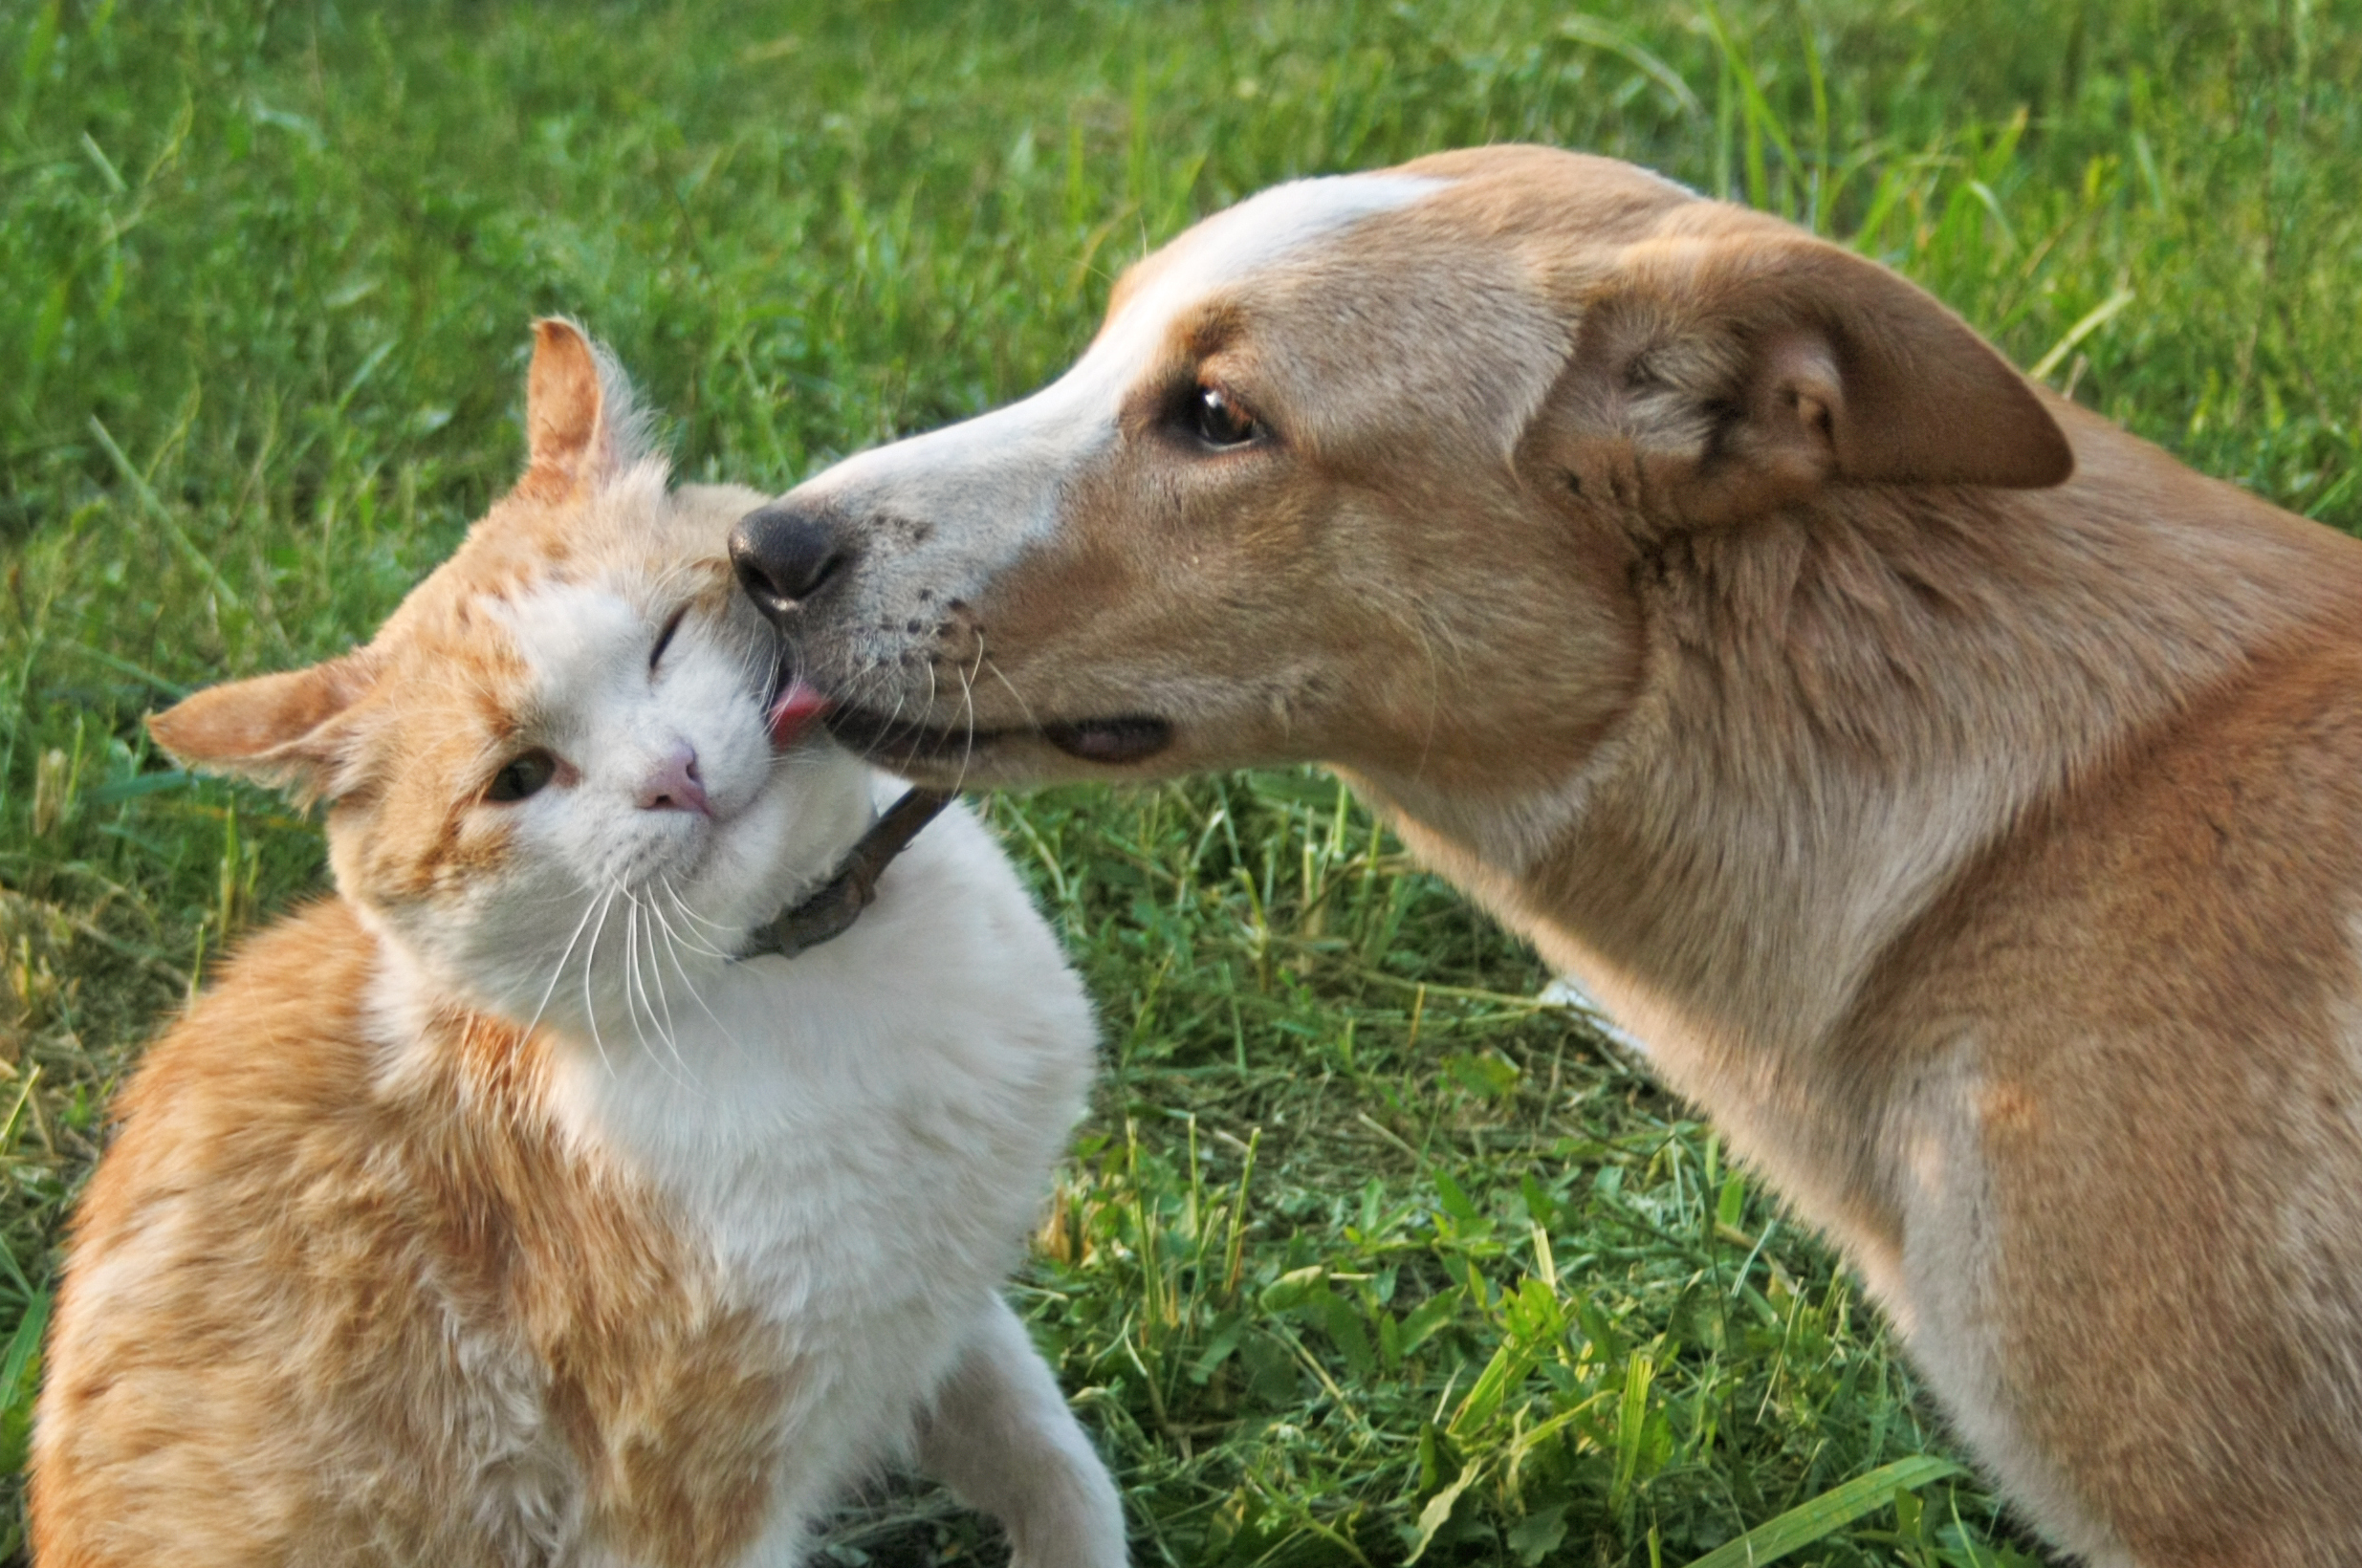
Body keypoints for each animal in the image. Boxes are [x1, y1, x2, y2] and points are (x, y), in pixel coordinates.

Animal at [23, 320, 1119, 1568]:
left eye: (667, 637)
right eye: (519, 776)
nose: (670, 774)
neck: (814, 962)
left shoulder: (941, 1304)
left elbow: (1055, 1461)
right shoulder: (685, 1504)